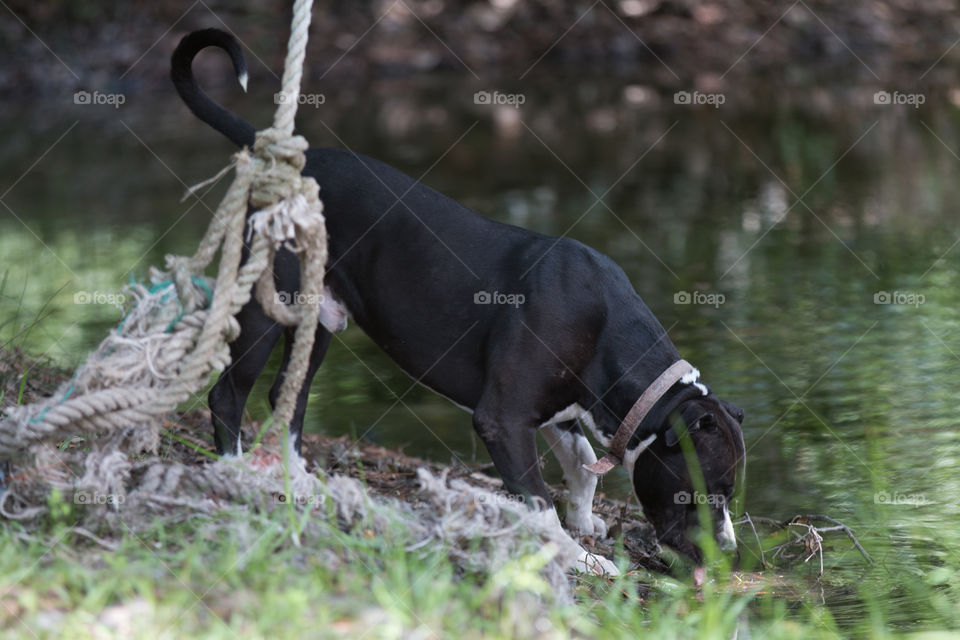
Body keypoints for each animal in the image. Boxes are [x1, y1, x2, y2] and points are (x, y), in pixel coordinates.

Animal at [172, 28, 748, 568]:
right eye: (707, 490)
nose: (728, 552)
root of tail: (287, 165)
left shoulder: (562, 408)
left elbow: (581, 465)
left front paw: (585, 524)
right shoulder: (503, 417)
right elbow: (539, 500)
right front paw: (576, 558)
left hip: (318, 320)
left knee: (286, 398)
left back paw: (302, 484)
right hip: (265, 305)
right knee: (228, 395)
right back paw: (233, 474)